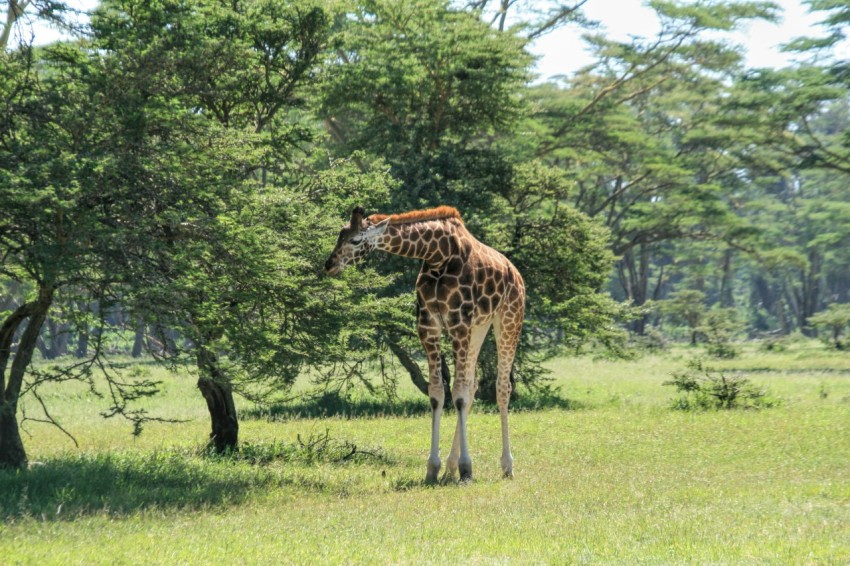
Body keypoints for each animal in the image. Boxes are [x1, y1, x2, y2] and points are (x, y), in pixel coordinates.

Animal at [324, 206, 524, 482]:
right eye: (339, 235)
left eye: (355, 240)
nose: (329, 265)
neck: (437, 254)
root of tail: (515, 272)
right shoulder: (428, 325)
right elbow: (438, 394)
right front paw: (434, 468)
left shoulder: (458, 323)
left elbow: (458, 395)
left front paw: (466, 469)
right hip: (479, 327)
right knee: (472, 386)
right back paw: (450, 467)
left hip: (508, 319)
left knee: (502, 387)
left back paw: (506, 466)